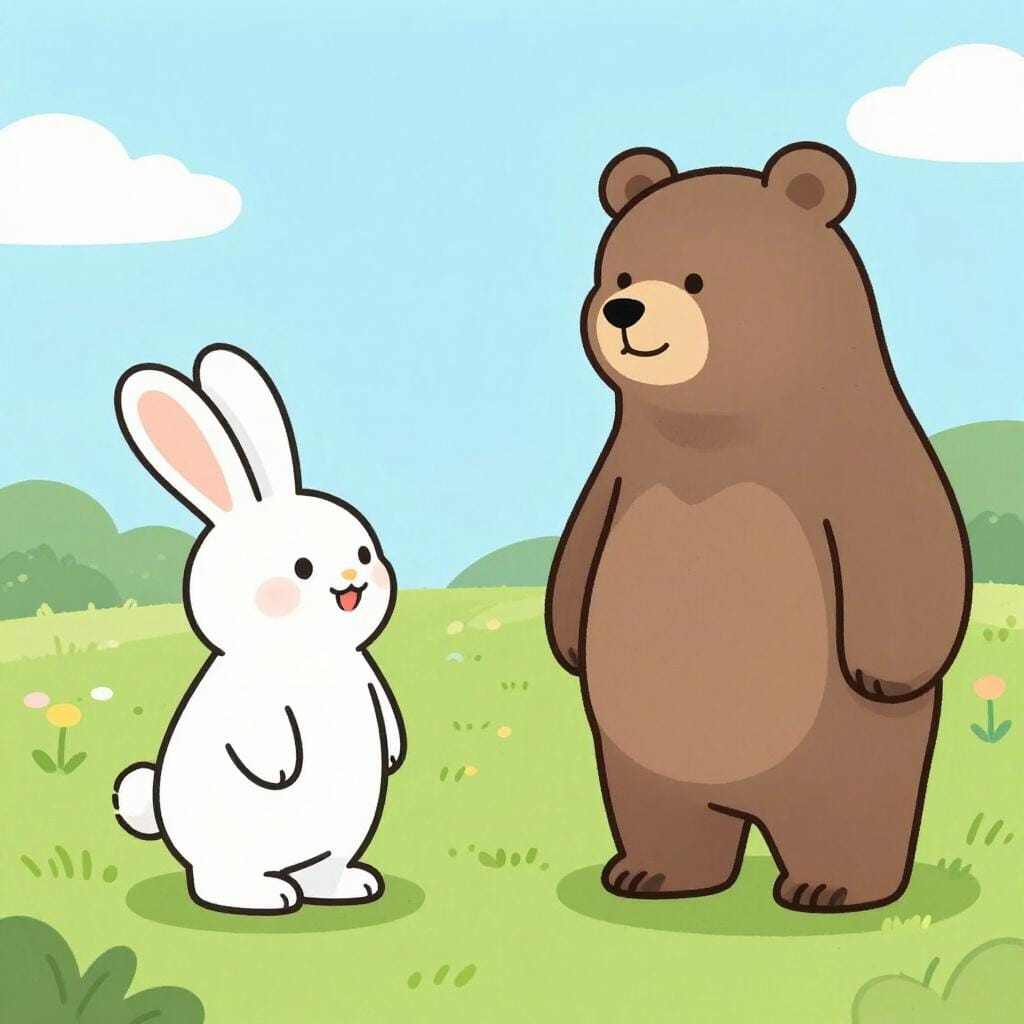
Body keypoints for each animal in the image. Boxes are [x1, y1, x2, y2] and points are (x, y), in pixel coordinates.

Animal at [111, 344, 405, 915]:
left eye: (364, 553)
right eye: (302, 568)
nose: (352, 581)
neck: (309, 653)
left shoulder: (364, 671)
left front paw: (394, 752)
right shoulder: (256, 698)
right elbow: (259, 731)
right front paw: (276, 771)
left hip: (338, 838)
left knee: (323, 869)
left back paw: (344, 887)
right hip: (227, 849)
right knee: (221, 880)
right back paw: (266, 896)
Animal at [546, 142, 971, 913]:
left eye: (697, 277)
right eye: (621, 272)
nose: (624, 307)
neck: (715, 435)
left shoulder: (862, 458)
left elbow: (912, 551)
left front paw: (884, 670)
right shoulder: (623, 468)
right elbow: (581, 546)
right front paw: (566, 641)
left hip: (843, 756)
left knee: (852, 812)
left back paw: (831, 886)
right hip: (639, 756)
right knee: (660, 812)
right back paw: (650, 873)